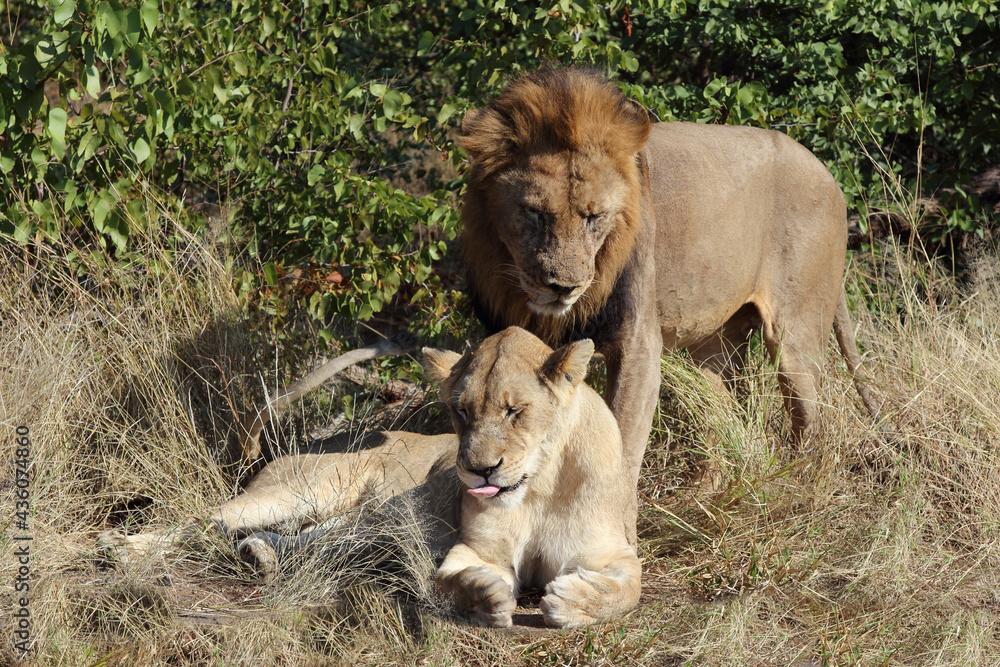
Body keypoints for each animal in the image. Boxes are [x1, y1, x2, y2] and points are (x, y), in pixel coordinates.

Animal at [100, 327, 640, 629]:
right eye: (461, 411)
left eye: (514, 411)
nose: (479, 468)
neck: (538, 487)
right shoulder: (477, 550)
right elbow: (451, 578)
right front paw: (482, 598)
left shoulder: (612, 553)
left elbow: (626, 589)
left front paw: (574, 601)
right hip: (301, 494)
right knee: (206, 518)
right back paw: (120, 548)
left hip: (365, 525)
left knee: (308, 541)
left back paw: (260, 556)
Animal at [460, 68, 881, 487]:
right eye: (534, 212)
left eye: (594, 217)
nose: (563, 288)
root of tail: (829, 176)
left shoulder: (638, 343)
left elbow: (623, 440)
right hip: (716, 344)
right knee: (723, 414)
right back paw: (706, 491)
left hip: (797, 338)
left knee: (810, 422)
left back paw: (795, 482)